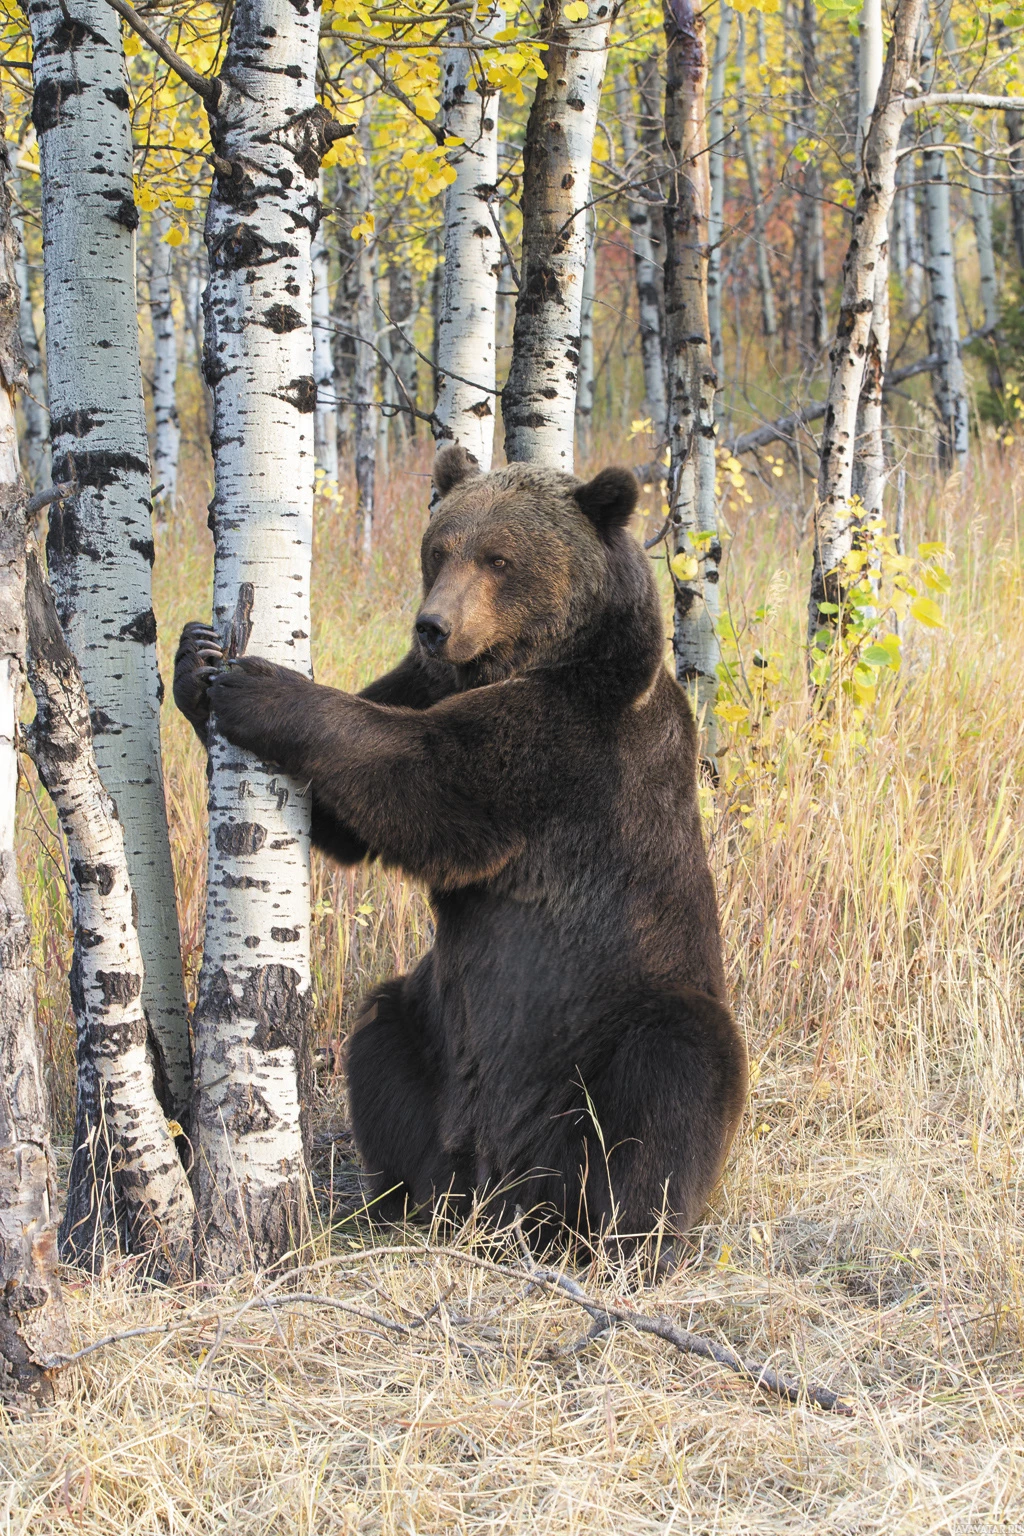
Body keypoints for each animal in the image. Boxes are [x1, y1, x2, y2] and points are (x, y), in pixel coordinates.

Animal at [176, 448, 749, 1259]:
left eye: (500, 558)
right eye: (439, 549)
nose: (433, 626)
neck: (526, 663)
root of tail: (507, 1183)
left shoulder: (568, 745)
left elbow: (426, 777)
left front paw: (261, 684)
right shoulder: (426, 685)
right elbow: (349, 821)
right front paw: (196, 658)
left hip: (612, 1019)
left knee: (675, 1073)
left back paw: (625, 1239)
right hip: (439, 1036)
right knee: (381, 1032)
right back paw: (401, 1197)